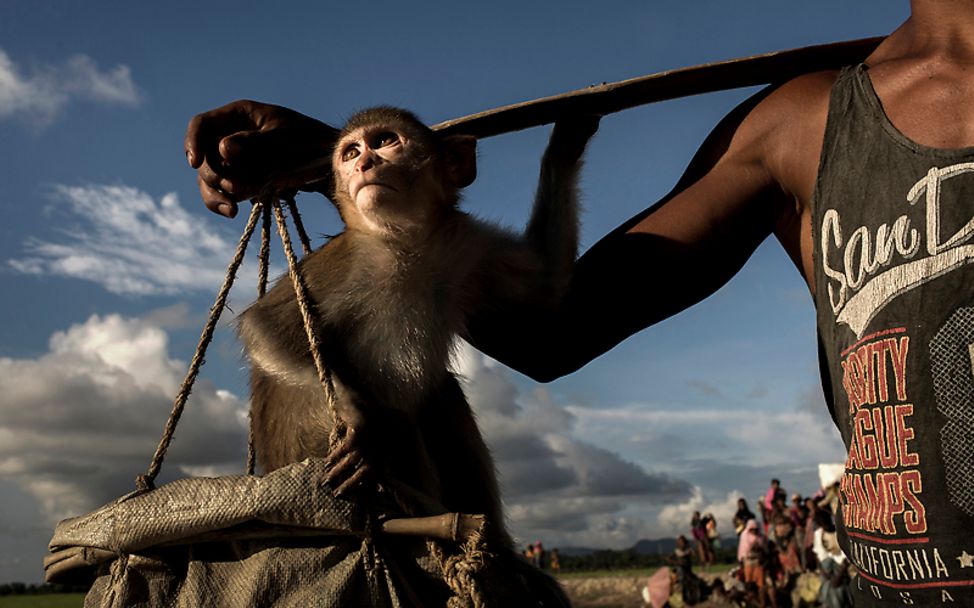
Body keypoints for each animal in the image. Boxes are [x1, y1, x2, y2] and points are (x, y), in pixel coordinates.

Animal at [240, 107, 600, 548]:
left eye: (384, 142)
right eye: (351, 152)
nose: (364, 163)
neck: (404, 241)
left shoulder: (466, 244)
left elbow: (547, 279)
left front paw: (567, 139)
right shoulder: (348, 261)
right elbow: (263, 326)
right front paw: (358, 417)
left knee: (440, 395)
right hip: (309, 443)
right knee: (396, 419)